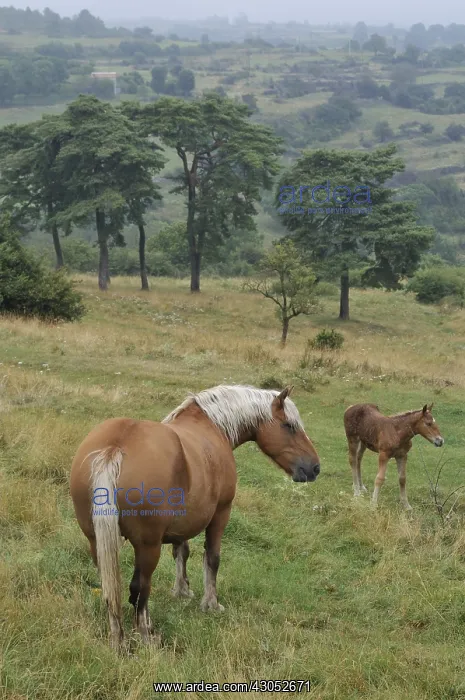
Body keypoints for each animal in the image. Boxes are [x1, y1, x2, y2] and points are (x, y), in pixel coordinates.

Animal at [70, 384, 320, 649]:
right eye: (289, 426)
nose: (314, 468)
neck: (212, 425)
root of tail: (115, 447)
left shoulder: (183, 523)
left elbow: (182, 552)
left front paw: (182, 591)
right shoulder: (221, 513)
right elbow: (212, 558)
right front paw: (210, 603)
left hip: (96, 541)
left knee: (111, 588)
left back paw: (118, 639)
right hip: (148, 546)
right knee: (139, 588)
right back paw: (146, 636)